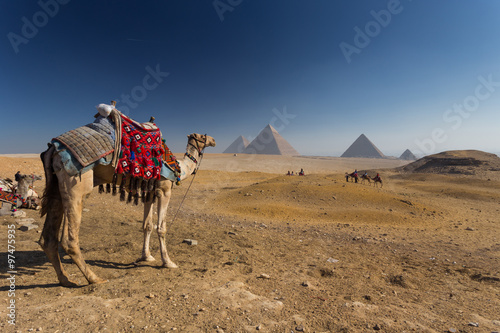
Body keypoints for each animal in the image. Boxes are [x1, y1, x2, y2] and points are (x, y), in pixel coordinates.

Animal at [40, 120, 216, 284]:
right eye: (202, 136)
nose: (214, 140)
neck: (179, 167)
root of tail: (53, 149)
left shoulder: (150, 191)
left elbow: (147, 225)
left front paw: (146, 257)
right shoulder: (164, 189)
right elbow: (161, 228)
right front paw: (168, 262)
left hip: (57, 186)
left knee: (48, 238)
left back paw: (65, 280)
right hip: (75, 185)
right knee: (69, 240)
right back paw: (94, 278)